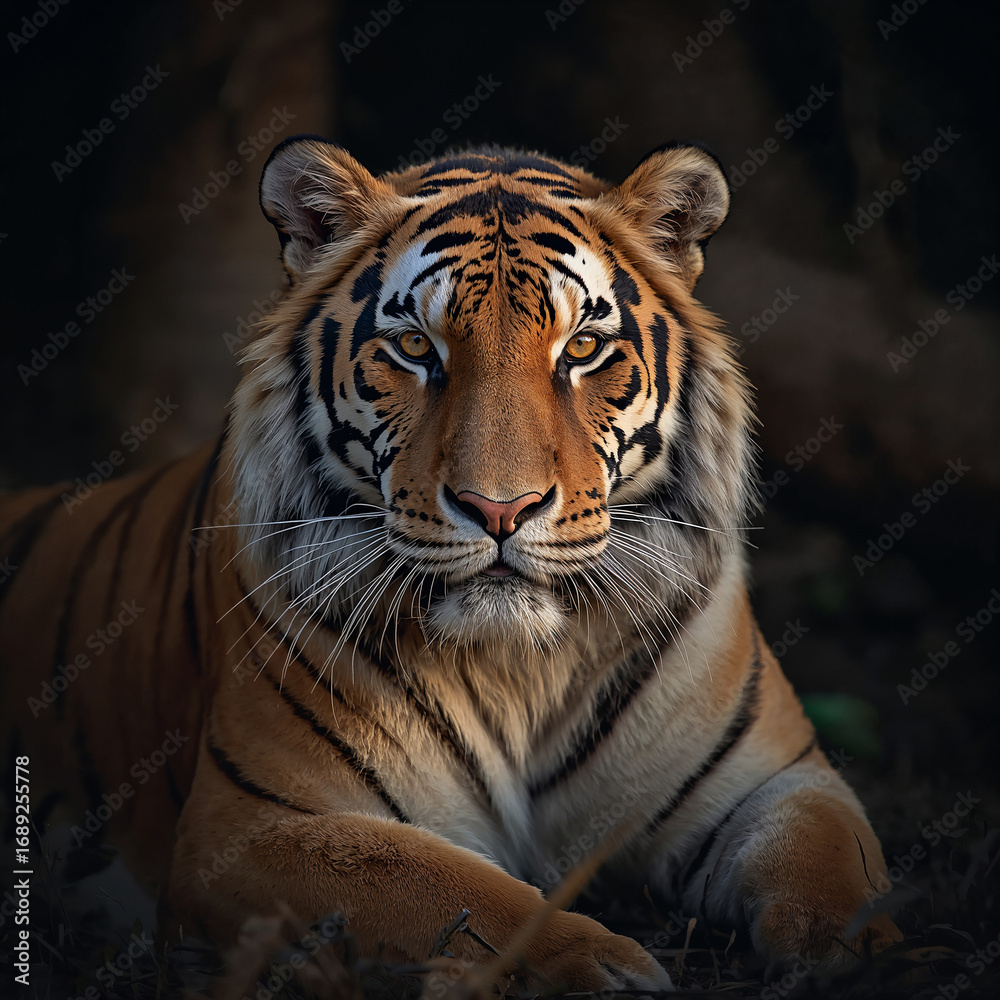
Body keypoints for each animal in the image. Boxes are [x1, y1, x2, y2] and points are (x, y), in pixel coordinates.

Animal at [0, 137, 901, 993]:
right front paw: (603, 963)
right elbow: (457, 889)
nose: (501, 509)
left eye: (582, 348)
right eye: (412, 347)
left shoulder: (777, 777)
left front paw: (855, 952)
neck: (521, 669)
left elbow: (834, 863)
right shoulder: (250, 827)